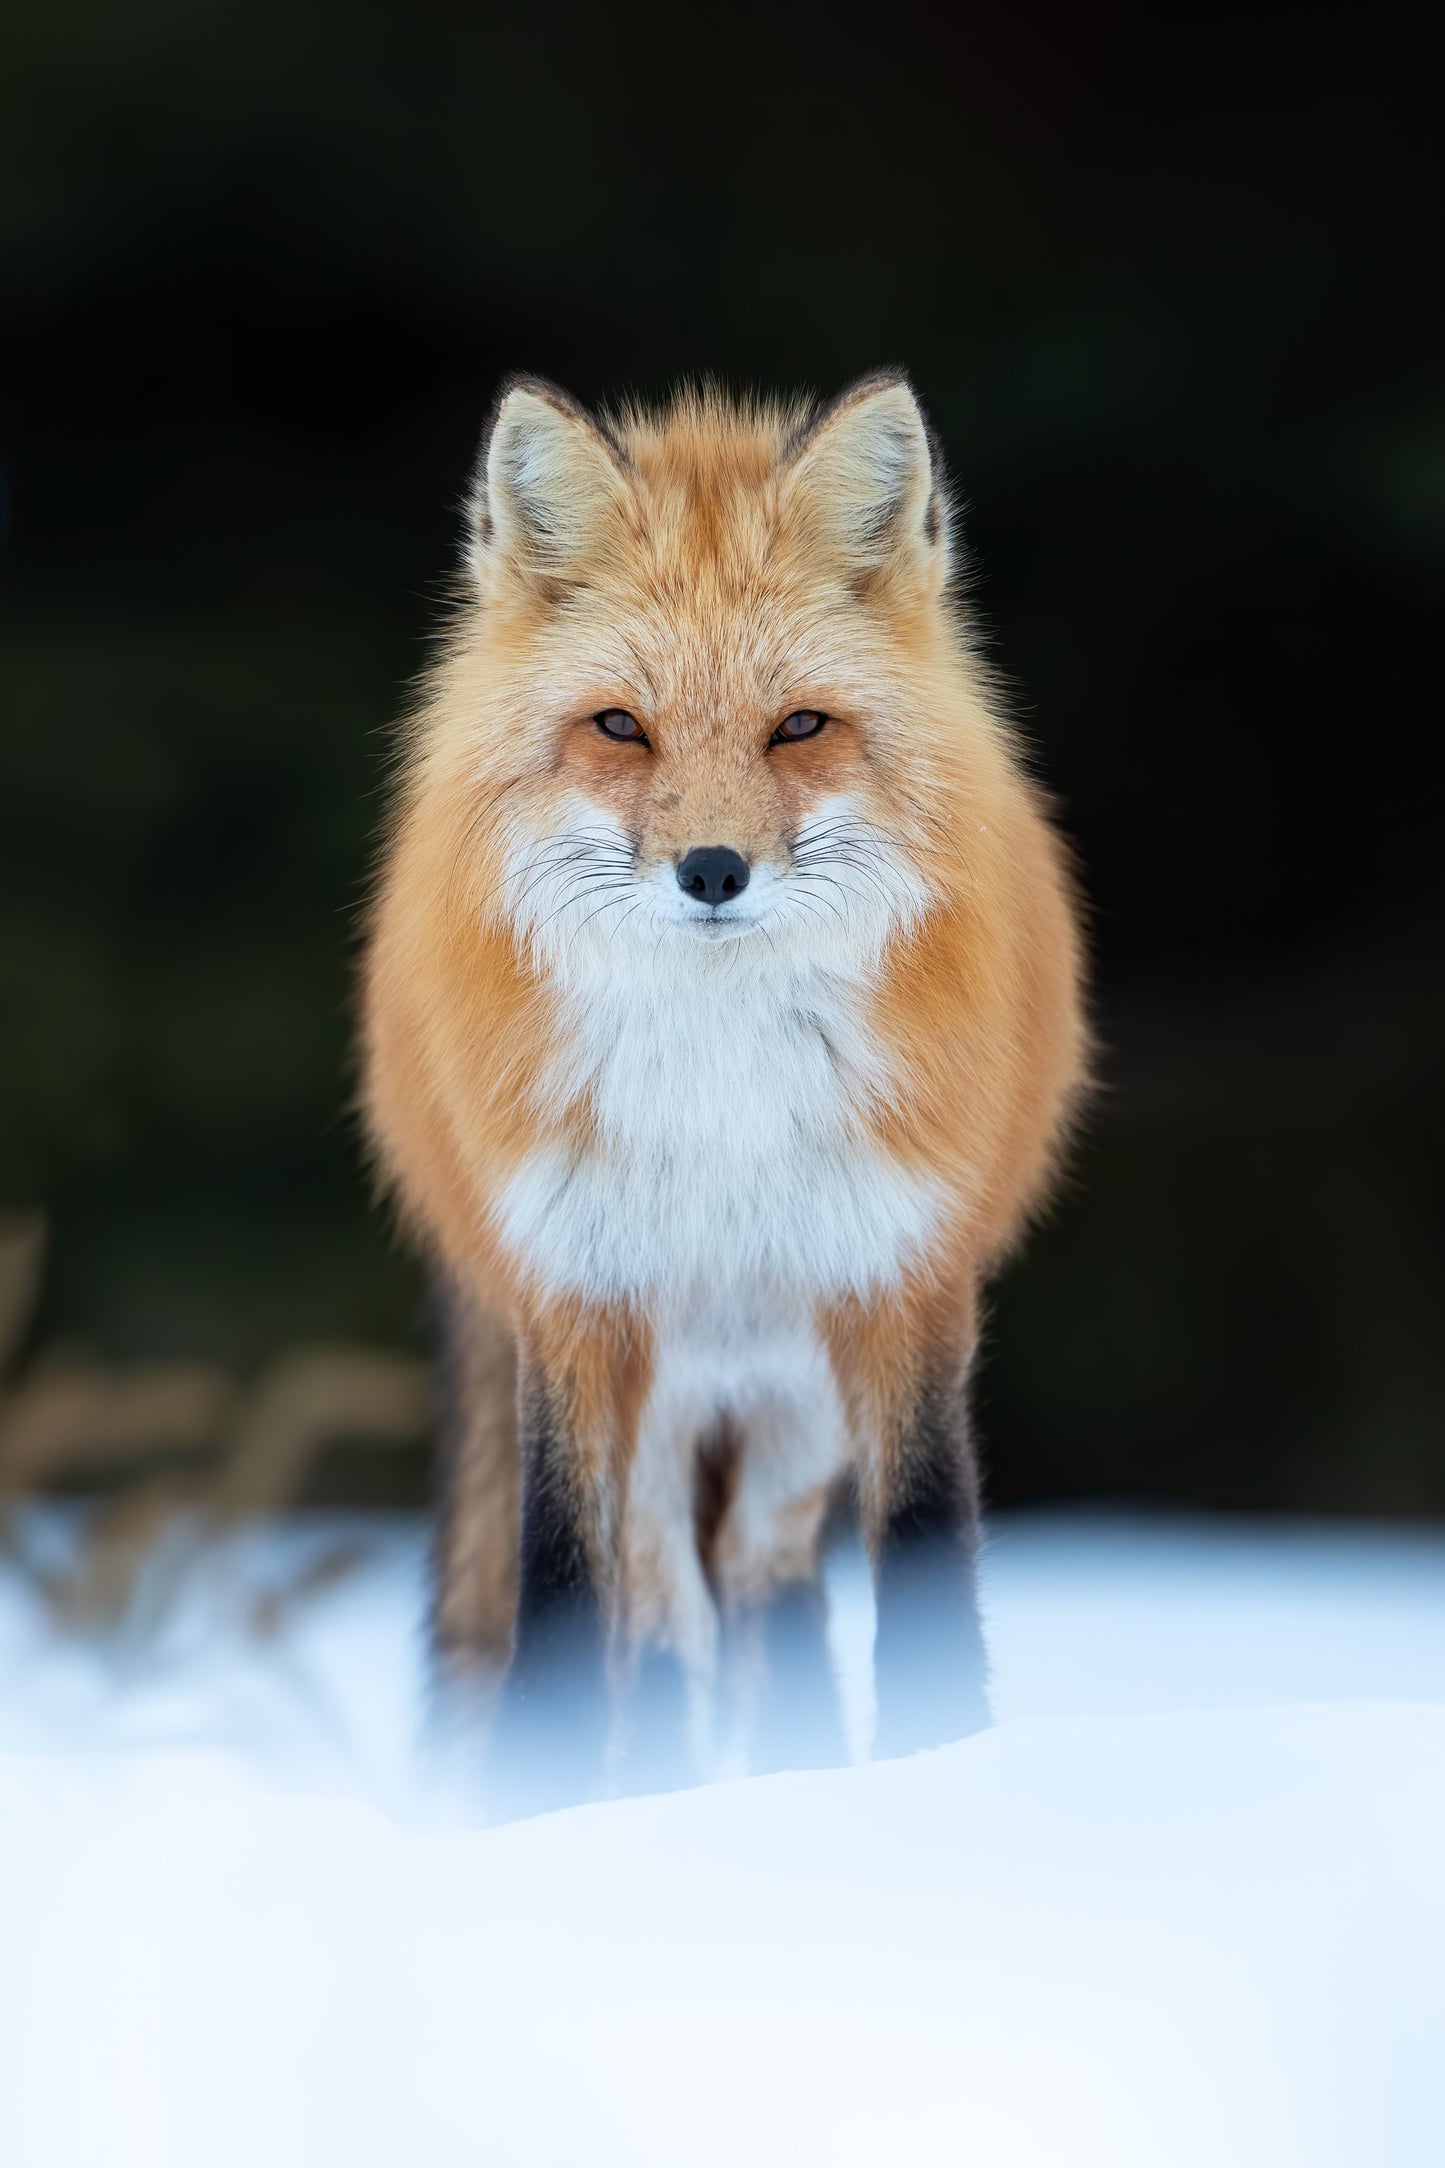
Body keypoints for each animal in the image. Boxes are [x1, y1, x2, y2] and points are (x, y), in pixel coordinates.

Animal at [361, 369, 1087, 1810]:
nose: (710, 870)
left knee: (762, 1585)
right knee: (663, 1609)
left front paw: (940, 1771)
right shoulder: (577, 1296)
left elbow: (925, 1548)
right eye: (619, 728)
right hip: (654, 1412)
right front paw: (540, 1810)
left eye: (798, 725)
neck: (719, 1109)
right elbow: (561, 1584)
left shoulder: (897, 1283)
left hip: (788, 1414)